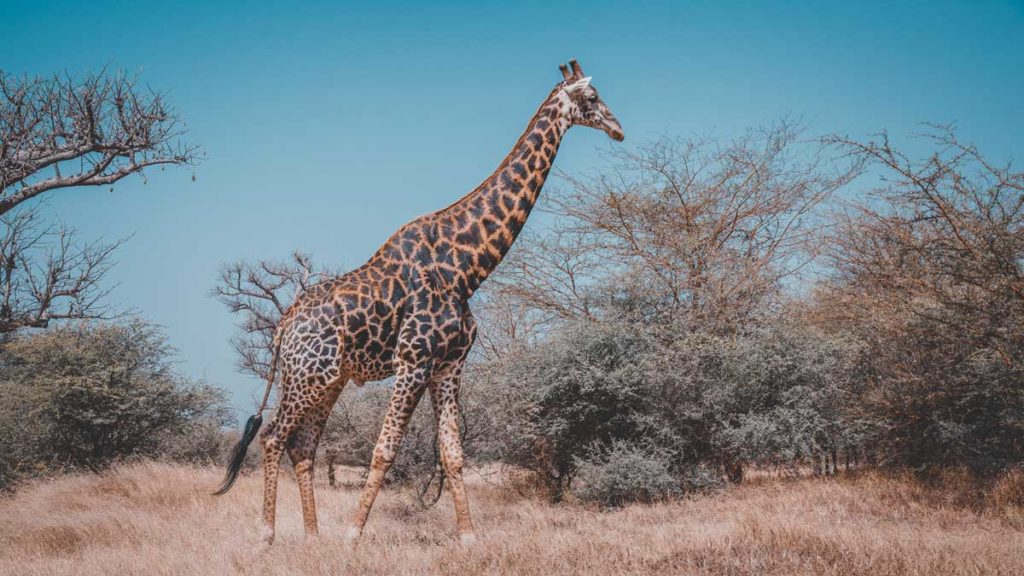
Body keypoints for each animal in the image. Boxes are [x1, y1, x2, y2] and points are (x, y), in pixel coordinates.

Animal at [211, 58, 618, 541]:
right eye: (592, 97)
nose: (617, 129)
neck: (465, 268)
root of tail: (282, 328)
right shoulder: (413, 361)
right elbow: (384, 451)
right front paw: (353, 536)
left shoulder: (448, 365)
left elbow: (453, 453)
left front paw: (468, 537)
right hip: (307, 376)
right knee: (274, 437)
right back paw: (268, 535)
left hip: (327, 380)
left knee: (303, 445)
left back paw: (312, 536)